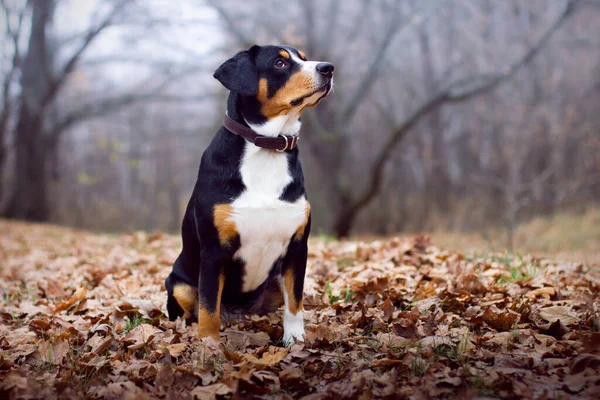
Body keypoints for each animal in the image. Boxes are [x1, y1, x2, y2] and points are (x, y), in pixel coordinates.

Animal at [164, 43, 332, 344]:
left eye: (303, 57)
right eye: (279, 63)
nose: (328, 68)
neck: (267, 149)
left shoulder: (297, 247)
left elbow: (295, 302)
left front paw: (295, 339)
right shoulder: (214, 251)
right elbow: (208, 309)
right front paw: (208, 346)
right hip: (179, 283)